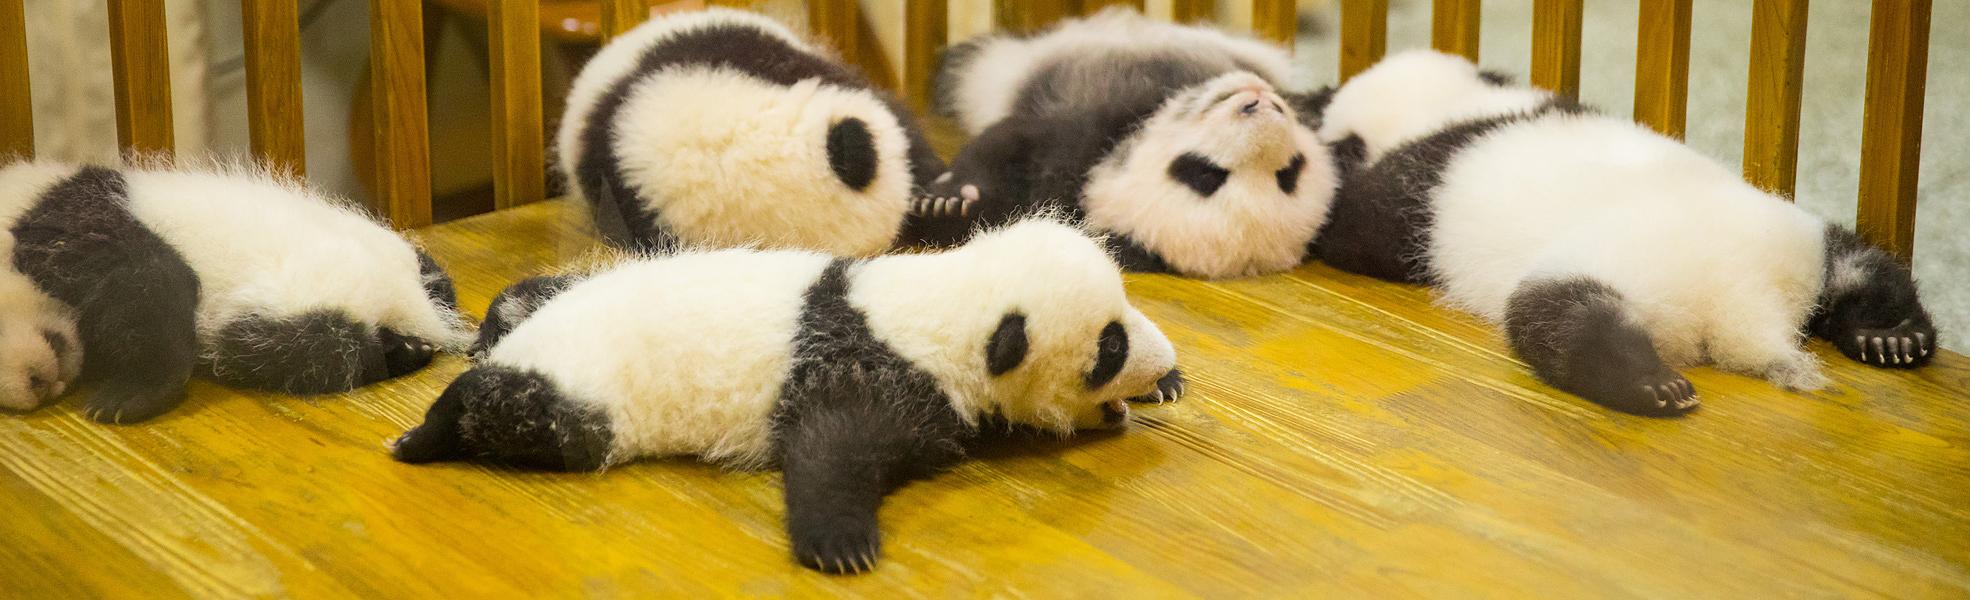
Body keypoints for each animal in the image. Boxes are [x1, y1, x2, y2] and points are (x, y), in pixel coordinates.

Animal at [0, 160, 472, 423]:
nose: (32, 386)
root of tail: (408, 302)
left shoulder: (79, 223)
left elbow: (150, 284)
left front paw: (127, 397)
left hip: (279, 298)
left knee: (284, 347)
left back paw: (392, 349)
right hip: (410, 260)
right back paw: (407, 348)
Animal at [391, 217, 1186, 574]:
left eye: (1126, 314)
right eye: (1110, 348)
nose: (1157, 359)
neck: (940, 304)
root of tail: (523, 341)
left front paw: (1171, 383)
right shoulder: (868, 372)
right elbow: (830, 453)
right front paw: (841, 544)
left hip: (572, 290)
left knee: (528, 298)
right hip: (578, 394)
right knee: (522, 412)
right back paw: (424, 433)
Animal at [908, 8, 1339, 278]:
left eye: (1202, 174)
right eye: (1292, 172)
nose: (1258, 103)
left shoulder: (1075, 152)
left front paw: (946, 205)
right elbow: (1010, 141)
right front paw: (946, 197)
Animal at [1309, 50, 1938, 417]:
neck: (1454, 105)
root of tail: (1744, 303)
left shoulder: (1412, 195)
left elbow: (1352, 224)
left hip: (1613, 268)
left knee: (1565, 318)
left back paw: (1647, 383)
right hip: (1797, 239)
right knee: (1862, 265)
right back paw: (1891, 336)